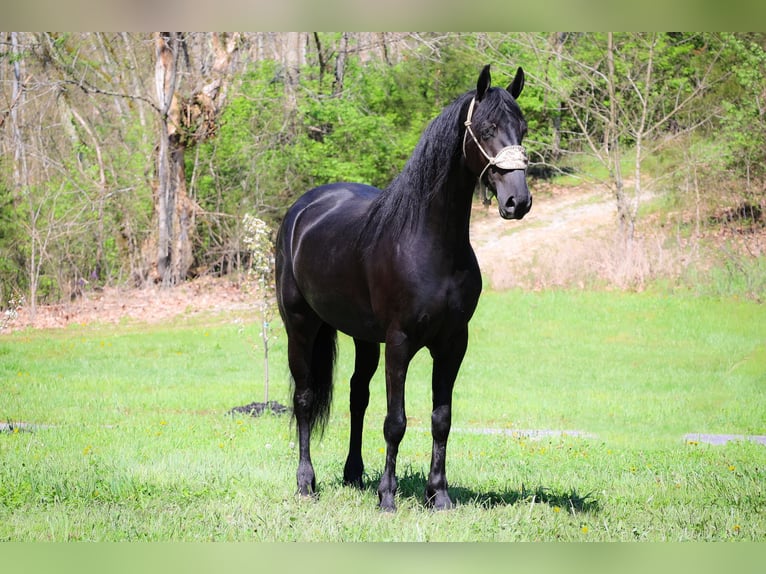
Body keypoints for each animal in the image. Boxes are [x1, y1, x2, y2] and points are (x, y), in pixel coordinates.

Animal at [278, 64, 536, 512]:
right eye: (486, 128)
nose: (517, 202)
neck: (430, 244)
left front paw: (439, 494)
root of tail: (302, 210)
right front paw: (387, 497)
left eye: (521, 128)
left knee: (357, 395)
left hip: (363, 337)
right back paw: (306, 483)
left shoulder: (452, 343)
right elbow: (395, 421)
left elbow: (441, 419)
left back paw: (353, 474)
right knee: (306, 398)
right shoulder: (399, 342)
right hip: (300, 327)